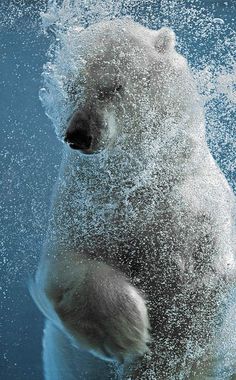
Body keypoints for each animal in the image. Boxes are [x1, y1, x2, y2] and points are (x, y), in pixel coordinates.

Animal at [30, 18, 235, 380]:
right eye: (71, 87)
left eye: (114, 87)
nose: (78, 134)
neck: (137, 179)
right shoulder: (83, 202)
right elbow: (63, 268)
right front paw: (124, 334)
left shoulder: (196, 209)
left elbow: (199, 293)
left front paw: (158, 360)